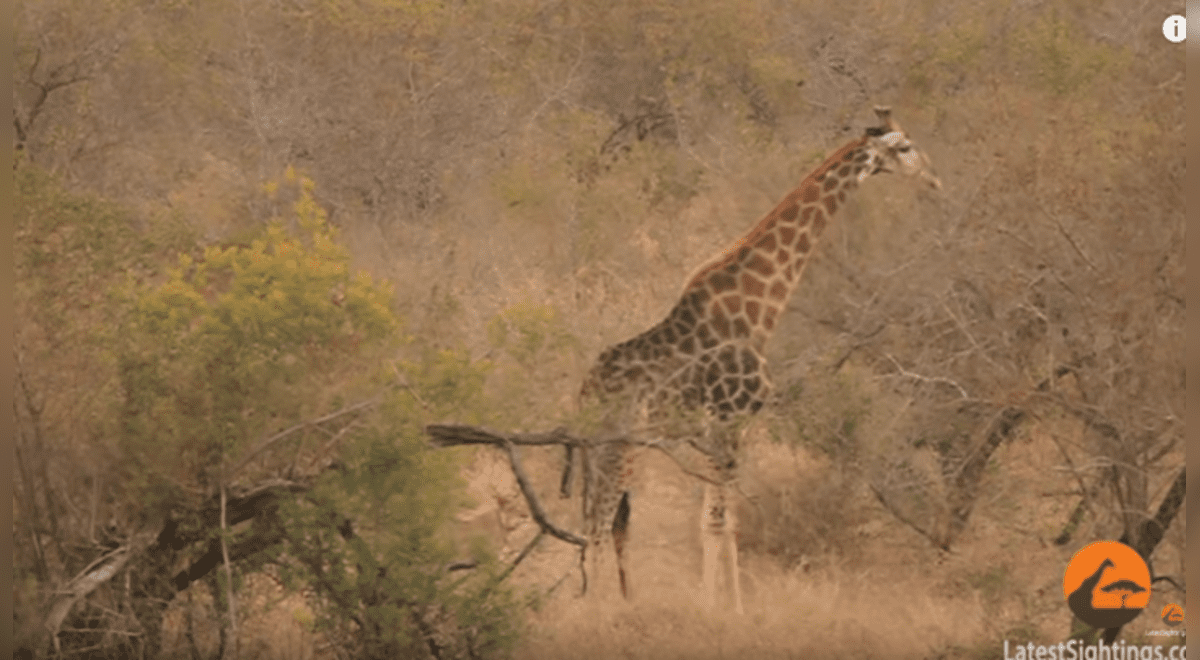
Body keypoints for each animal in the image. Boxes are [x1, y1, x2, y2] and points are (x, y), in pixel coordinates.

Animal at [568, 107, 936, 614]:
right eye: (904, 147)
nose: (933, 179)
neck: (762, 308)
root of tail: (585, 391)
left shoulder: (713, 433)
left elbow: (717, 519)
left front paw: (726, 606)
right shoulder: (731, 421)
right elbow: (718, 522)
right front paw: (721, 611)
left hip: (601, 449)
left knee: (597, 525)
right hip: (621, 445)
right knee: (599, 527)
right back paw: (598, 612)